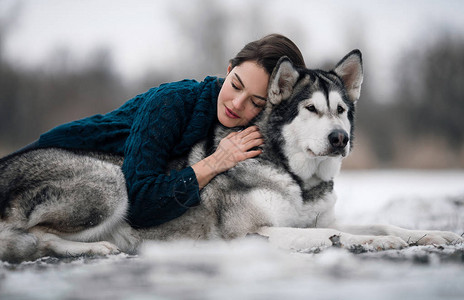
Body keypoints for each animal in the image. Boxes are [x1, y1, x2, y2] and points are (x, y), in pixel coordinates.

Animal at [0, 51, 460, 262]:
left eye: (342, 110)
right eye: (311, 109)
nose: (339, 138)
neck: (298, 178)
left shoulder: (316, 214)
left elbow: (378, 222)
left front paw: (428, 234)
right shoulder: (253, 233)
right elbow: (330, 235)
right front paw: (369, 241)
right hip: (114, 182)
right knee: (37, 234)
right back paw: (98, 248)